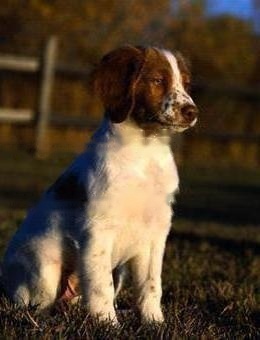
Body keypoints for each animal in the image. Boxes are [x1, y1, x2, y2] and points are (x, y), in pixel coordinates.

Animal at [1, 45, 198, 324]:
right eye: (158, 80)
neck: (145, 152)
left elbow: (150, 285)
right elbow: (100, 285)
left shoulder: (155, 233)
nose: (192, 112)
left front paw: (154, 322)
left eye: (186, 84)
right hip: (44, 269)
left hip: (119, 271)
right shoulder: (98, 230)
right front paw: (108, 324)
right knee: (35, 306)